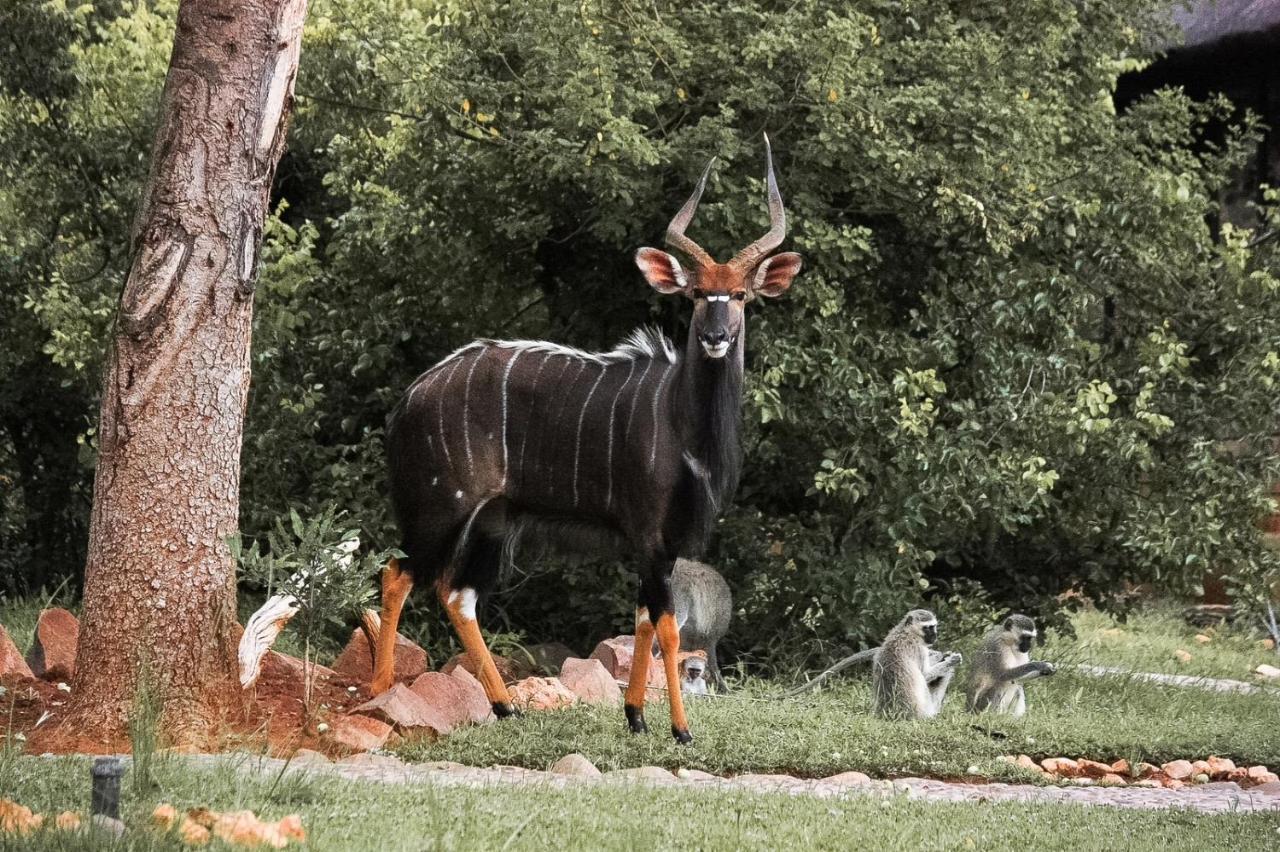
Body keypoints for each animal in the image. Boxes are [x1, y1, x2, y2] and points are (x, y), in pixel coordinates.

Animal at [371, 136, 803, 741]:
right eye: (697, 293)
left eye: (741, 295)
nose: (717, 337)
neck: (683, 427)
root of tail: (409, 398)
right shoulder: (648, 533)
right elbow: (666, 625)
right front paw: (680, 729)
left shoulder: (663, 544)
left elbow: (643, 619)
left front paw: (637, 717)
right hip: (437, 507)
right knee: (398, 574)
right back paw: (381, 688)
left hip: (493, 520)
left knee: (458, 594)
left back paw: (505, 706)